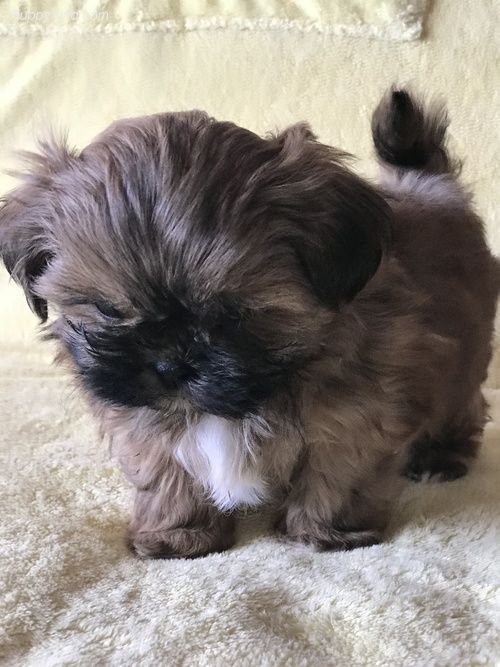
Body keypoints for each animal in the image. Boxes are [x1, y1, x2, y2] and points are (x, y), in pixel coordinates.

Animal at [0, 90, 500, 560]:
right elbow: (165, 471)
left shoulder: (357, 414)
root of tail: (429, 185)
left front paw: (327, 530)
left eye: (234, 312)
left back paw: (439, 457)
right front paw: (179, 533)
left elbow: (338, 471)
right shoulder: (142, 420)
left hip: (465, 360)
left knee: (463, 405)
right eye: (108, 309)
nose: (169, 365)